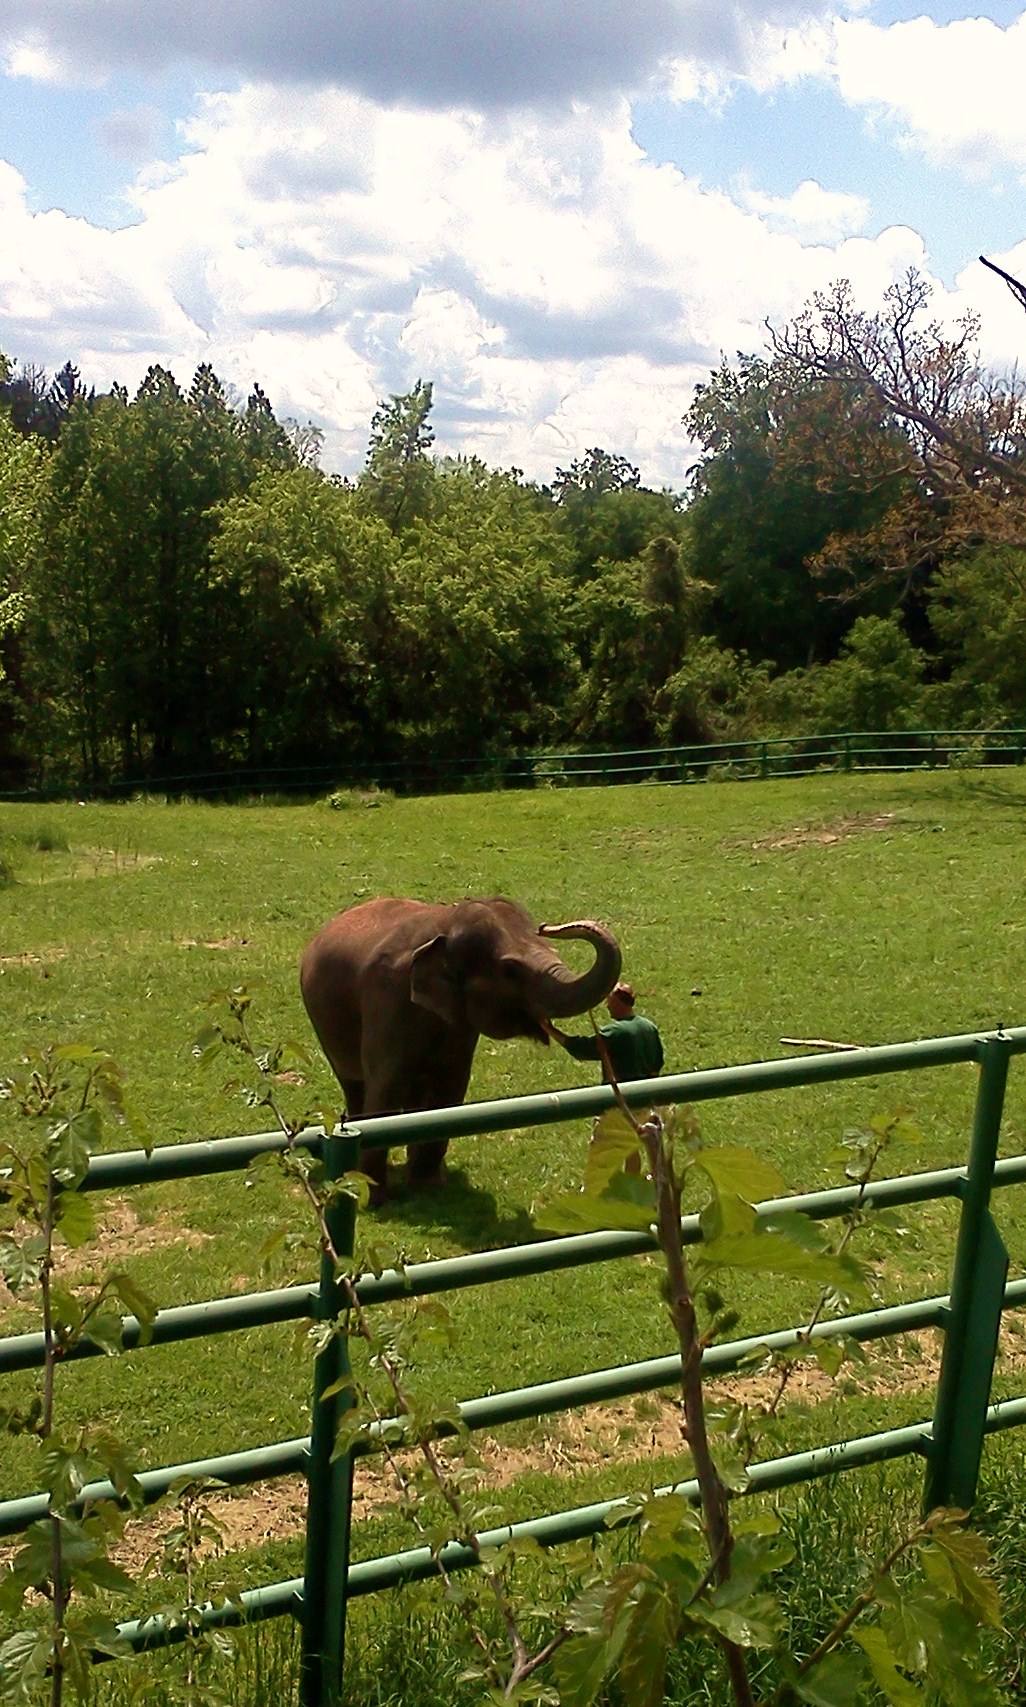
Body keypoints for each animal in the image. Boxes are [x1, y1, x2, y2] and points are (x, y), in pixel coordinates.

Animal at [299, 895, 622, 1201]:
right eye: (509, 970)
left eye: (551, 948)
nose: (546, 927)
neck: (445, 924)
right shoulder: (387, 999)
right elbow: (386, 1088)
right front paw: (373, 1197)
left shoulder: (460, 1029)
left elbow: (450, 1090)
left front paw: (429, 1187)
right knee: (356, 1086)